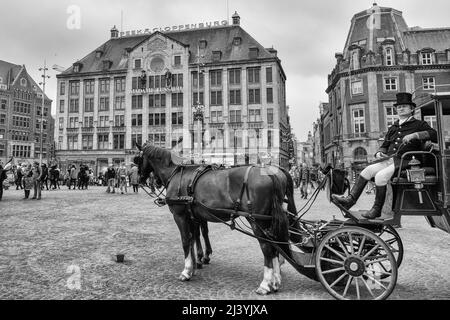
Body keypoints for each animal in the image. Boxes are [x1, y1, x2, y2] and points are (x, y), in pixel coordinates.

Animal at [135, 143, 300, 296]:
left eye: (137, 159)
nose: (139, 179)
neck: (176, 174)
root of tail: (271, 173)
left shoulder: (180, 215)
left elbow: (186, 241)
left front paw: (186, 271)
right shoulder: (192, 216)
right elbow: (194, 238)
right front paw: (195, 265)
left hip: (257, 221)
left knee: (267, 247)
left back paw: (265, 284)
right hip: (270, 220)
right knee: (275, 246)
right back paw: (276, 281)